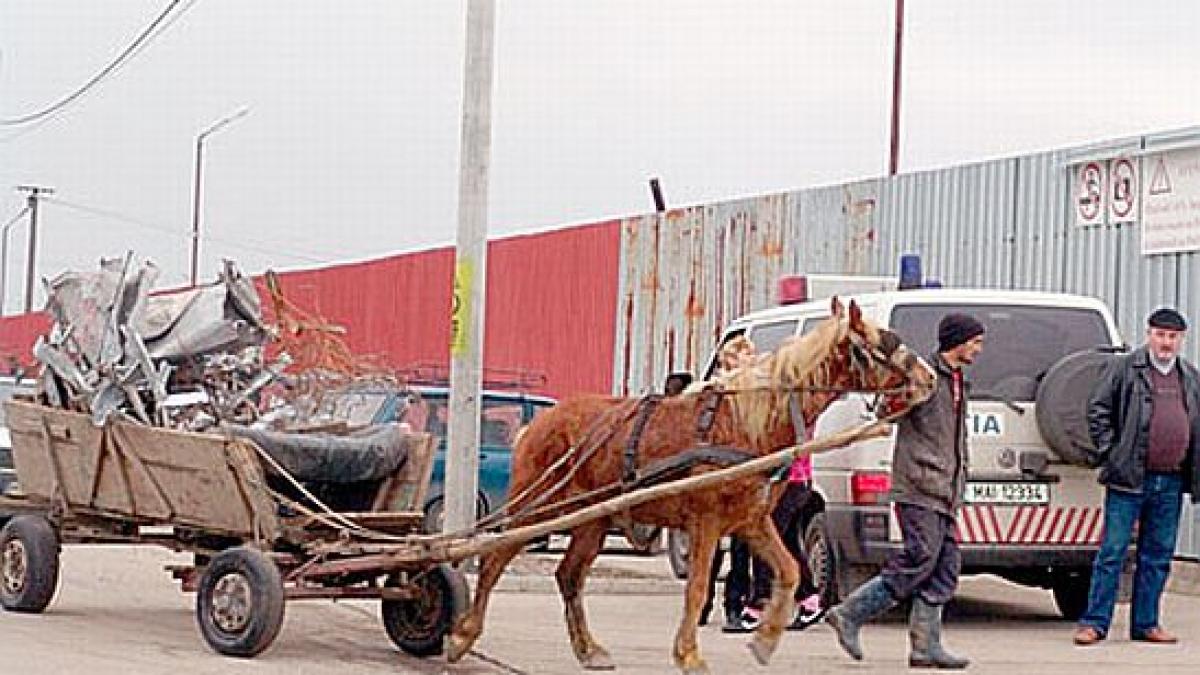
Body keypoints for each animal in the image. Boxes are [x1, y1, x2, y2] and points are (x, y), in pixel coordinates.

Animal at [446, 296, 931, 667]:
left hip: (592, 520)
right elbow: (697, 590)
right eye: (888, 342)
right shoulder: (707, 522)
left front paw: (765, 640)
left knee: (568, 576)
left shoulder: (752, 521)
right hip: (538, 507)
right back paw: (462, 635)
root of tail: (540, 422)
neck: (746, 422)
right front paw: (690, 655)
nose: (928, 379)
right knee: (494, 558)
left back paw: (588, 649)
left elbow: (791, 571)